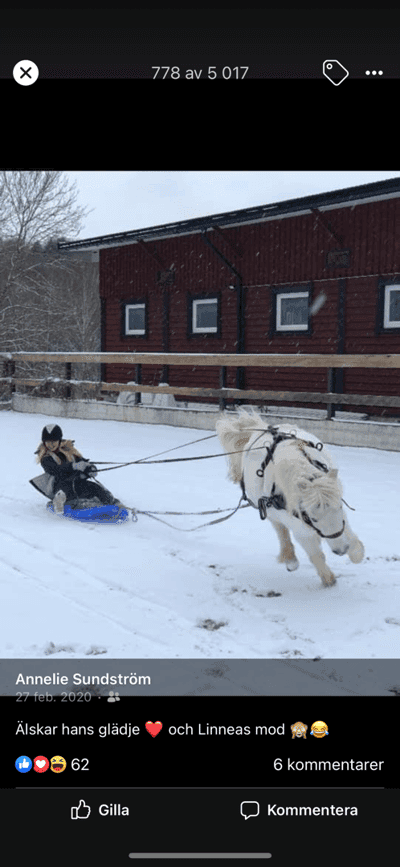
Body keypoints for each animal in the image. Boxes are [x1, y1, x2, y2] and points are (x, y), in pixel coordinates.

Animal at [217, 412, 364, 588]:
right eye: (313, 517)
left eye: (340, 507)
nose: (341, 550)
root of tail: (261, 427)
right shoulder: (297, 524)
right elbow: (315, 553)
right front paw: (328, 578)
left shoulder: (340, 516)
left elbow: (349, 534)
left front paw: (356, 552)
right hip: (269, 510)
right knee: (281, 530)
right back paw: (290, 559)